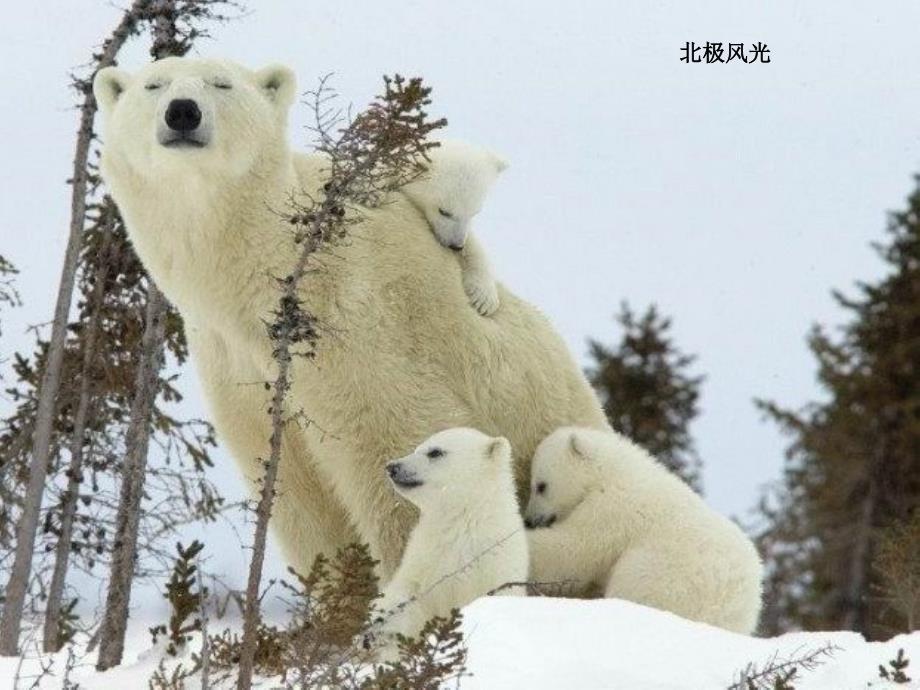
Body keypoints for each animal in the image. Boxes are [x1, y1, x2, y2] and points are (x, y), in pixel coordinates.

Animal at [374, 428, 528, 644]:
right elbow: (408, 595)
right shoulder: (423, 558)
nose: (392, 467)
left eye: (435, 452)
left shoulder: (496, 564)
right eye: (416, 448)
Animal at [524, 428, 760, 632]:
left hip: (665, 577)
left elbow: (574, 550)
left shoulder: (613, 509)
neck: (612, 471)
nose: (529, 519)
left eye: (541, 486)